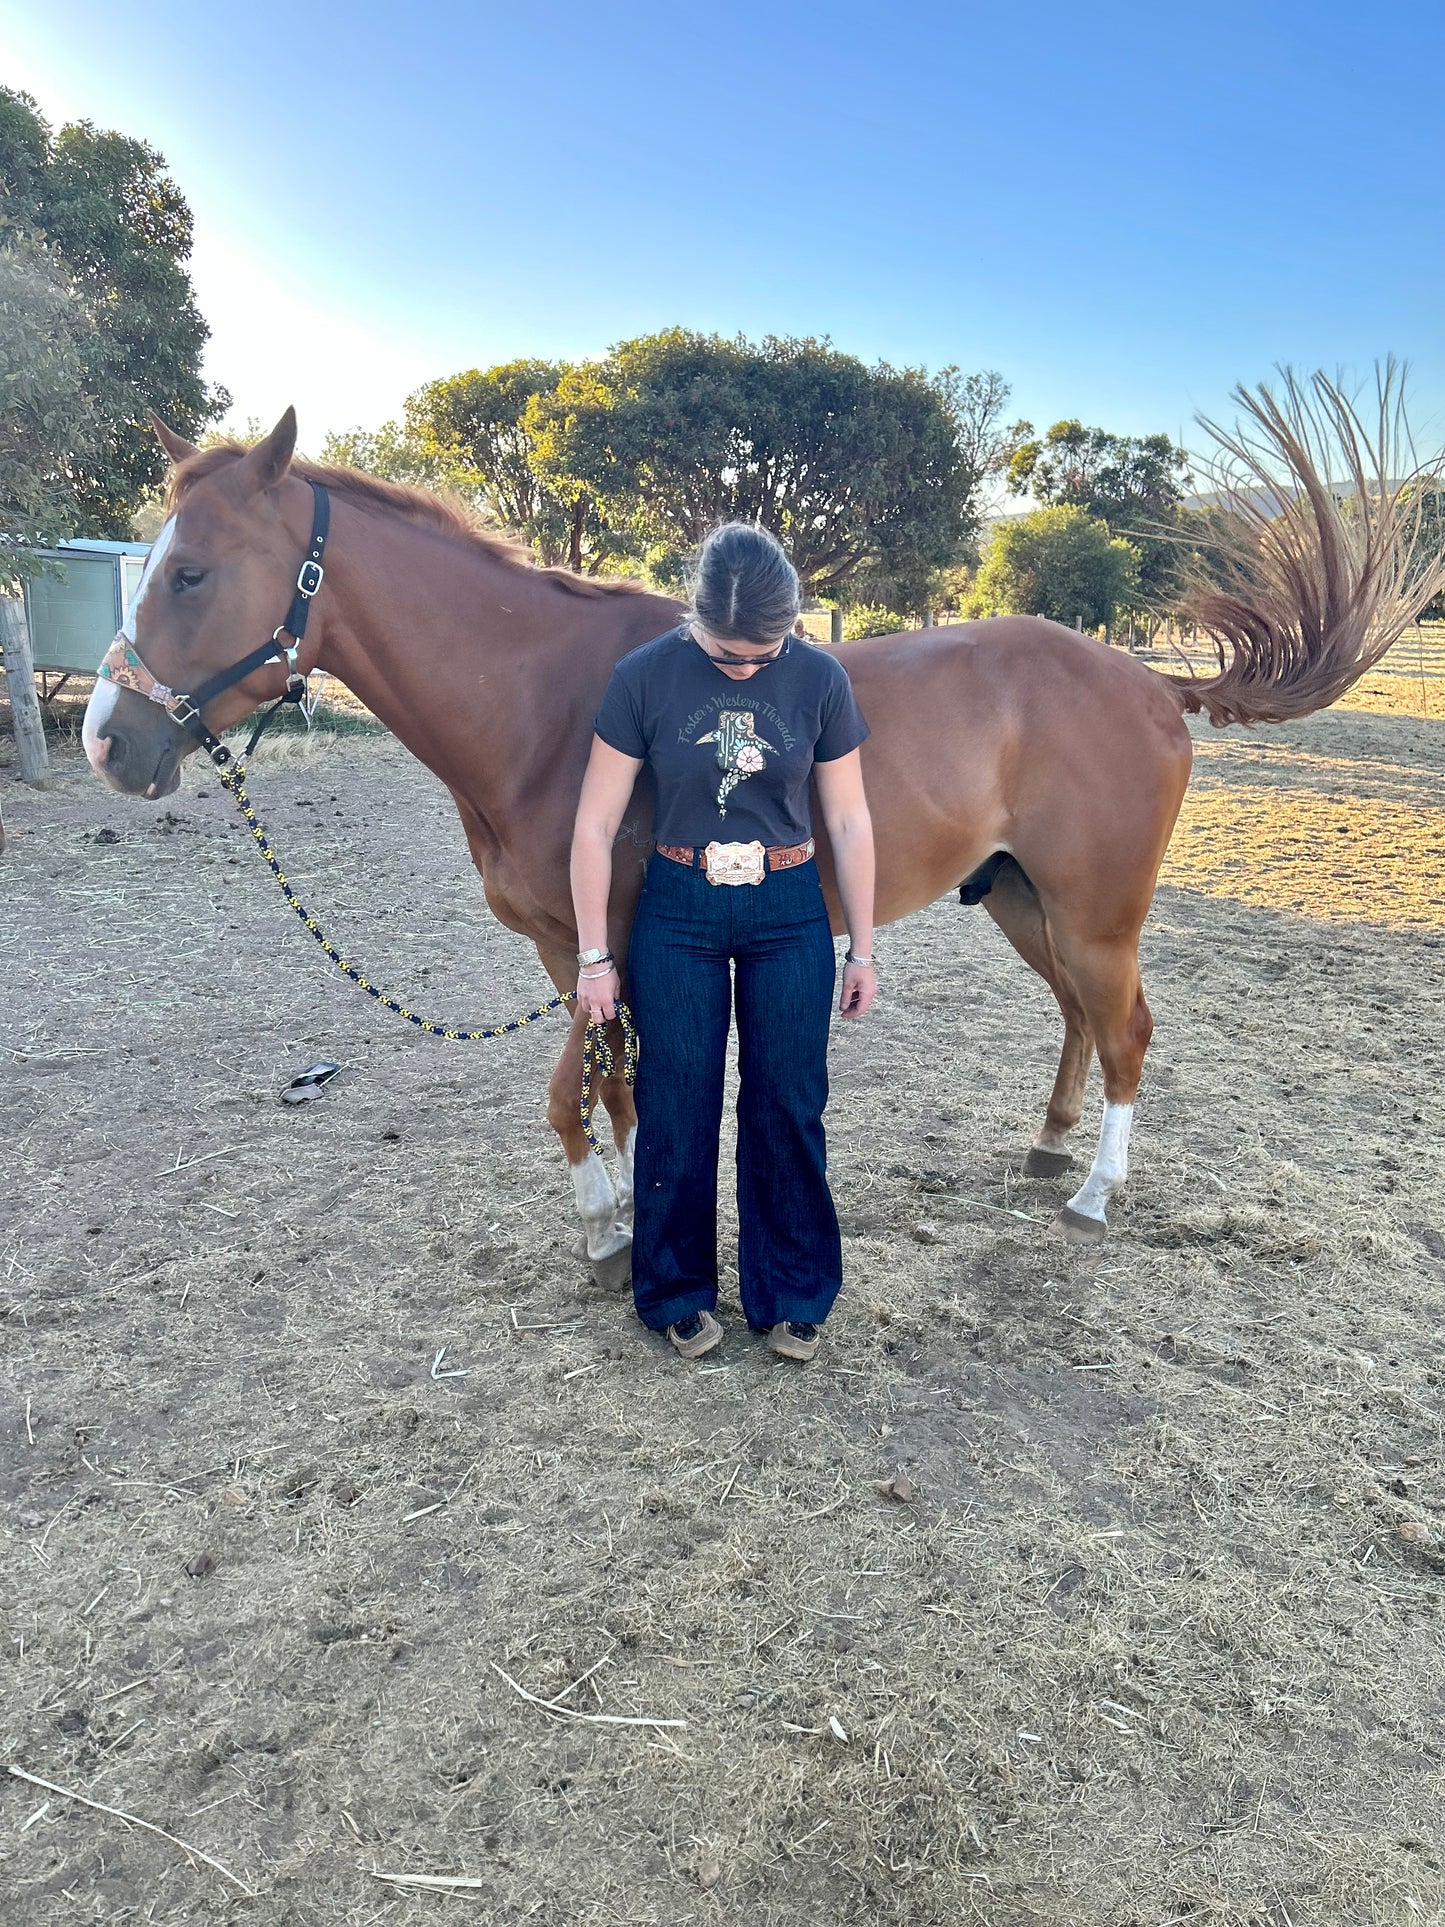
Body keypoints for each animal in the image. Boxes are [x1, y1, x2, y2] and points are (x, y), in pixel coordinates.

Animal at [84, 371, 1441, 1264]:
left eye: (190, 571)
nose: (106, 738)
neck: (548, 704)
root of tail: (1152, 683)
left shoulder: (619, 936)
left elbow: (573, 1096)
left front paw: (607, 1226)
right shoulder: (575, 951)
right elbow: (613, 1092)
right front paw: (632, 1214)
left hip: (1095, 912)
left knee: (1126, 1032)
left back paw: (1095, 1191)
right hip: (1024, 902)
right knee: (1076, 1020)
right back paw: (1050, 1148)